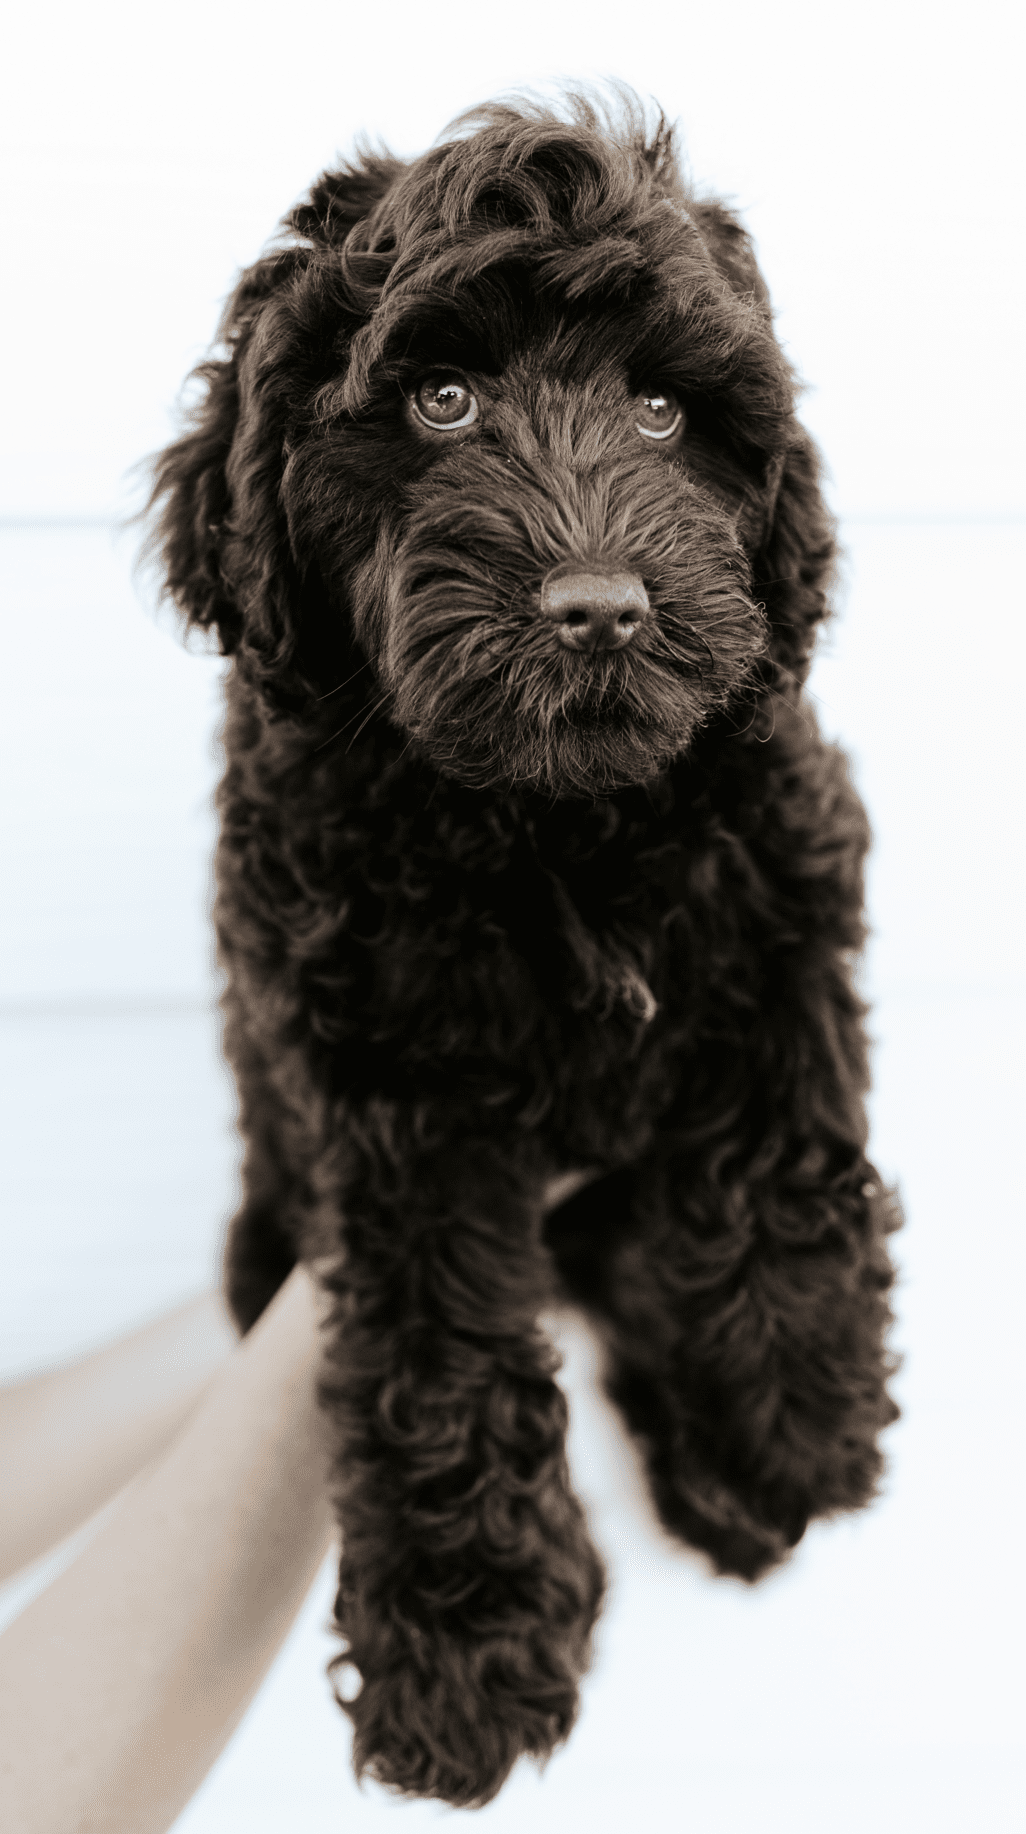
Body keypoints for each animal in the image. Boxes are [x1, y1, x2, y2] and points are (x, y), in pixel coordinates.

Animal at [150, 96, 899, 1804]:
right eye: (440, 399)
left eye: (660, 411)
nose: (600, 608)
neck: (545, 820)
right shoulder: (383, 1078)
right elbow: (434, 1349)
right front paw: (462, 1653)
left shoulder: (784, 864)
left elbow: (775, 1149)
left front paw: (789, 1420)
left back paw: (722, 1484)